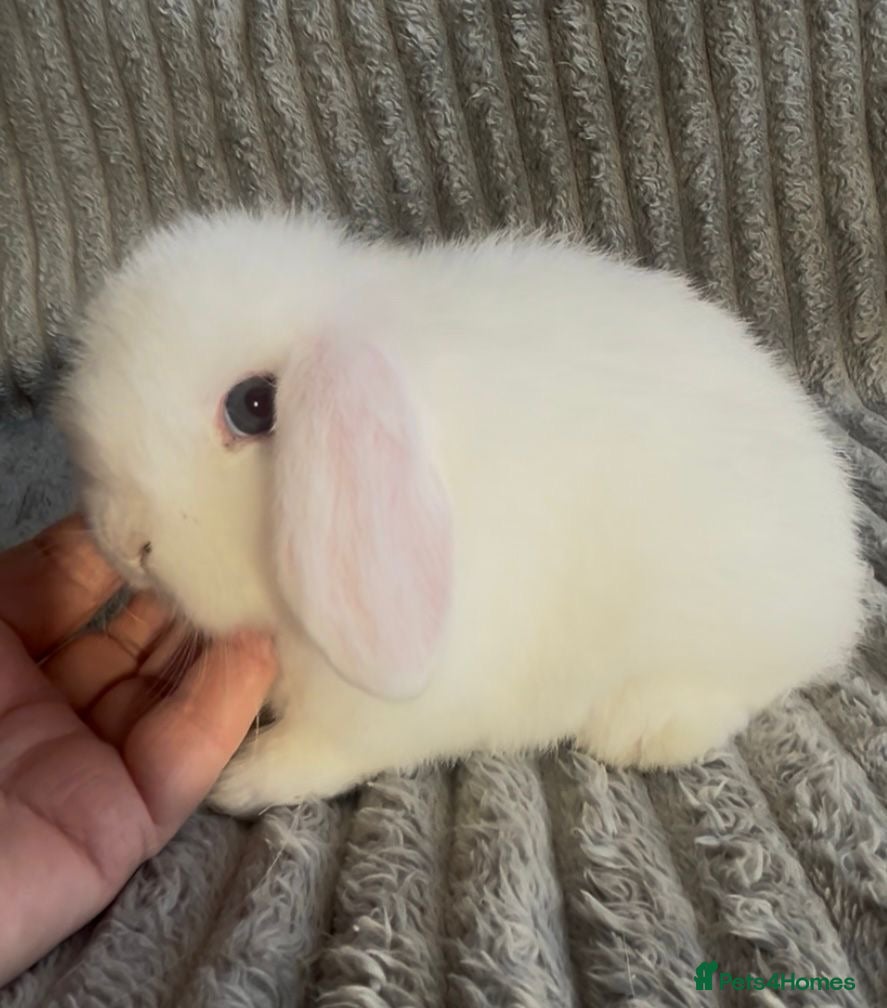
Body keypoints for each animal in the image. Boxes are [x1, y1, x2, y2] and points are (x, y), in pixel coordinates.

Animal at [54, 209, 867, 817]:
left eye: (253, 406)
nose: (125, 542)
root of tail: (843, 571)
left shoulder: (376, 713)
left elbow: (324, 754)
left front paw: (241, 781)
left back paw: (635, 731)